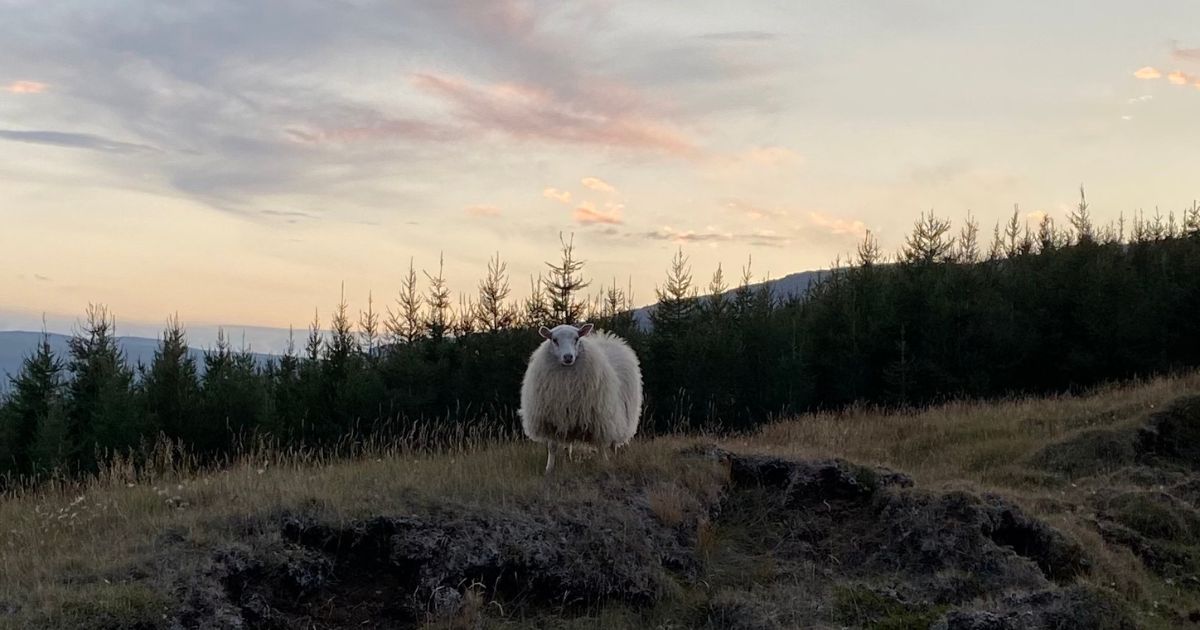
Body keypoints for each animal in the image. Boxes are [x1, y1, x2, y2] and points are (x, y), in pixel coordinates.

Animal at [520, 321, 643, 475]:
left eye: (576, 338)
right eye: (554, 340)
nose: (568, 357)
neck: (567, 380)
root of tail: (606, 339)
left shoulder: (598, 419)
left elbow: (601, 445)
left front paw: (605, 464)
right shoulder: (553, 420)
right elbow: (552, 447)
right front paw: (549, 470)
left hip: (617, 416)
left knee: (613, 442)